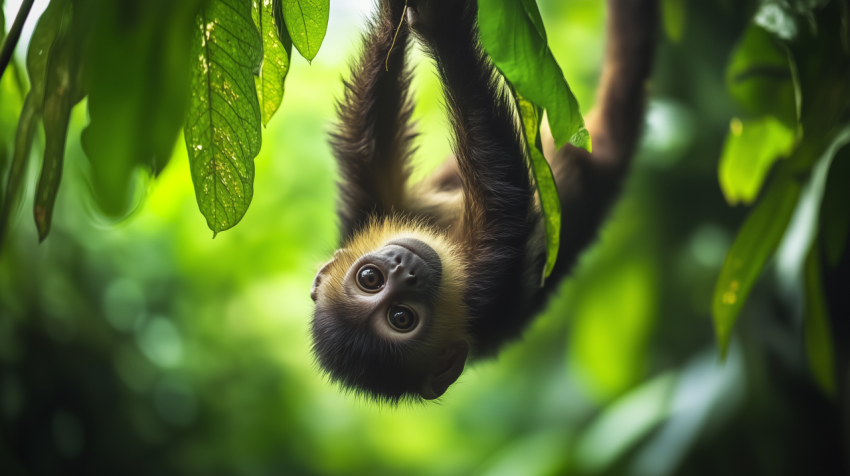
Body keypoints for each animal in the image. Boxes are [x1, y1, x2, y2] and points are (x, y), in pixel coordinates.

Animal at [310, 0, 656, 402]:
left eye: (369, 278)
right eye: (401, 318)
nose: (404, 270)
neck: (450, 248)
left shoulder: (366, 210)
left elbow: (368, 149)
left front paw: (398, 18)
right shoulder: (485, 287)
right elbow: (506, 197)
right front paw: (445, 30)